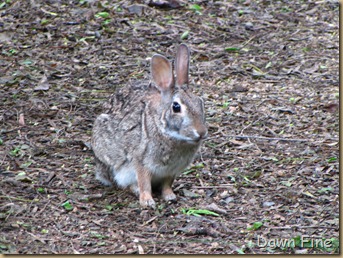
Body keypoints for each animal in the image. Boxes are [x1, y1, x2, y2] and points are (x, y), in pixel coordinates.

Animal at [91, 44, 208, 209]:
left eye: (200, 102)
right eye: (176, 107)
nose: (202, 132)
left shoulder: (171, 171)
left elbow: (167, 184)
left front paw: (170, 196)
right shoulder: (140, 162)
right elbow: (144, 183)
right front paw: (147, 201)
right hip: (112, 162)